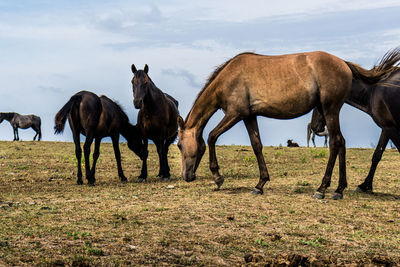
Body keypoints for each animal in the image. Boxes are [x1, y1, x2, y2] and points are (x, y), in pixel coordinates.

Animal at [178, 51, 394, 200]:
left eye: (179, 145)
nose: (185, 176)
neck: (229, 77)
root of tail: (344, 64)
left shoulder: (235, 114)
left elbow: (212, 136)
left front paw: (217, 177)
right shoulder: (249, 116)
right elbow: (256, 145)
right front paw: (260, 184)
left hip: (330, 109)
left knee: (335, 143)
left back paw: (322, 189)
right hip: (329, 111)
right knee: (341, 142)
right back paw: (339, 189)